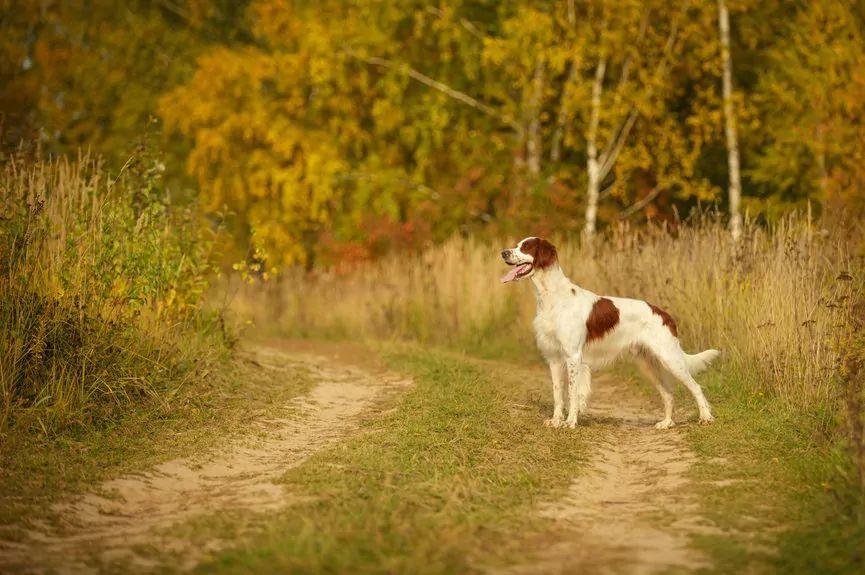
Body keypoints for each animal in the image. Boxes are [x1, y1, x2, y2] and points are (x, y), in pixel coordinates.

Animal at [500, 236, 716, 430]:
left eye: (525, 247)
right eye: (517, 245)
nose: (503, 253)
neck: (552, 297)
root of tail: (665, 315)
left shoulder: (573, 356)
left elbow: (572, 392)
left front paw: (570, 422)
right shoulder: (553, 357)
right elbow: (557, 393)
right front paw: (555, 421)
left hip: (670, 358)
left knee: (695, 387)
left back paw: (705, 417)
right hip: (649, 364)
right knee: (668, 393)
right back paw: (667, 423)